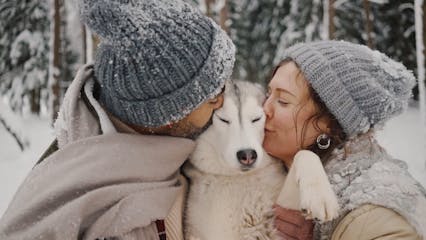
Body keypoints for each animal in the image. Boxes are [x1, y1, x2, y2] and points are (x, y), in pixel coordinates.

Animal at [185, 81, 338, 240]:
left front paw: (320, 197)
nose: (247, 155)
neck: (244, 179)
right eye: (223, 120)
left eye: (256, 119)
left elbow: (305, 153)